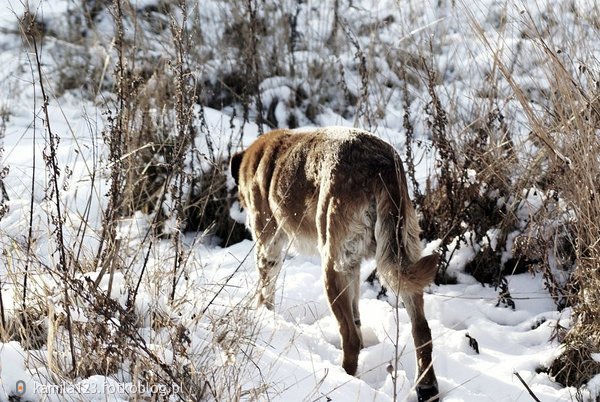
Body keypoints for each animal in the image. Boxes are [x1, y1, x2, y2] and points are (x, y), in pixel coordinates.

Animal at [230, 127, 436, 400]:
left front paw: (263, 314)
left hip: (331, 266)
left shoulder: (269, 245)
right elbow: (357, 311)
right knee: (421, 329)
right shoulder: (354, 267)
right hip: (400, 254)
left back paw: (343, 379)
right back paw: (427, 387)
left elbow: (265, 291)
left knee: (350, 337)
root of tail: (381, 166)